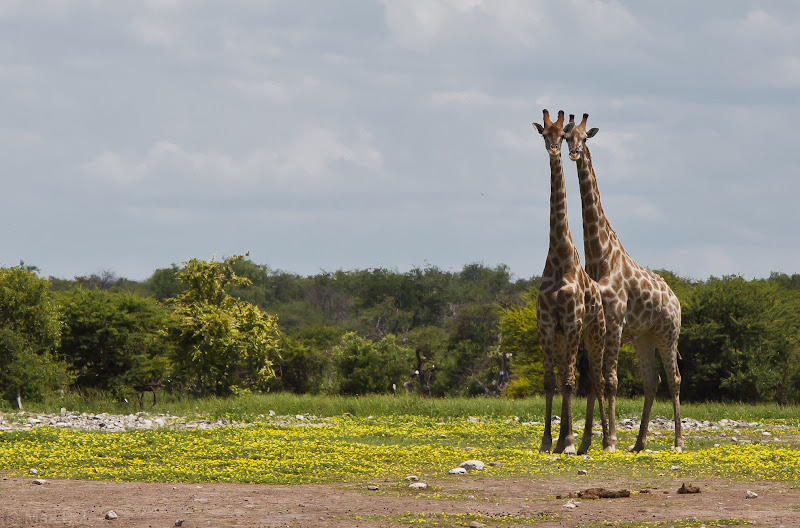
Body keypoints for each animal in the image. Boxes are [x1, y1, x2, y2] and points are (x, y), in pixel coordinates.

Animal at [564, 113, 680, 452]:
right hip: (644, 336)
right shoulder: (595, 324)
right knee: (652, 380)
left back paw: (678, 441)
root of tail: (676, 299)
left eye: (584, 138)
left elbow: (611, 380)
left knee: (673, 379)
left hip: (668, 332)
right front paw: (588, 441)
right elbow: (595, 379)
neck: (600, 256)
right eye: (566, 137)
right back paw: (639, 442)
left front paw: (610, 440)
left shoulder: (614, 322)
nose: (574, 153)